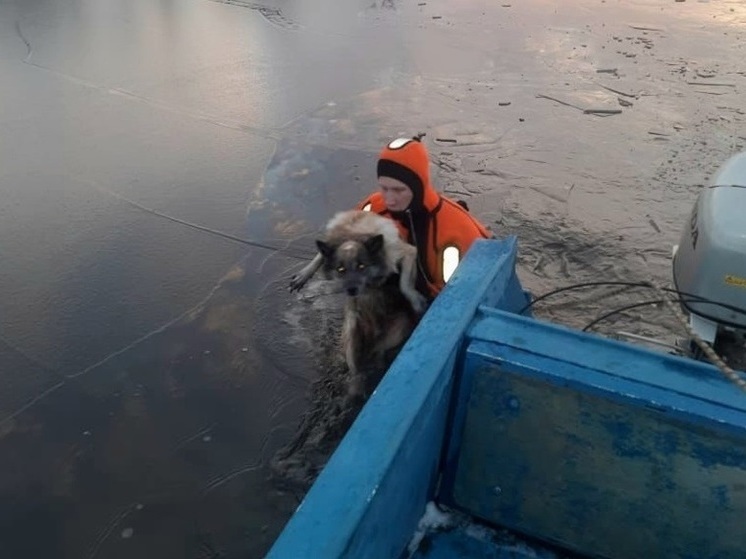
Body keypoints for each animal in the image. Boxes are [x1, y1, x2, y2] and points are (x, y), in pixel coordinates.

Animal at [290, 210, 428, 398]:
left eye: (362, 266)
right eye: (341, 269)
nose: (351, 290)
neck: (353, 235)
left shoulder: (406, 252)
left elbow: (404, 283)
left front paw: (415, 299)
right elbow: (320, 256)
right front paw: (305, 274)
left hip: (392, 336)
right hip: (352, 338)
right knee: (357, 370)